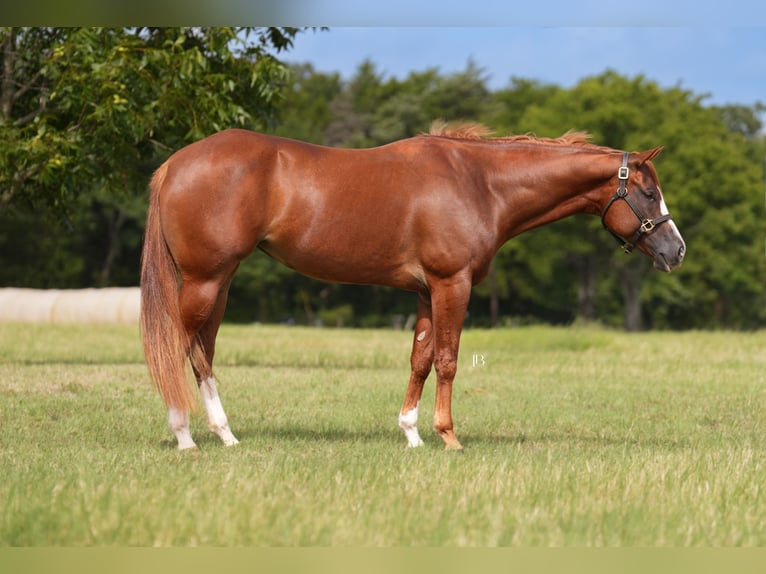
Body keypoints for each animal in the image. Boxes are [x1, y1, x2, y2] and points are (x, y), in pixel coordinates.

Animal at [140, 122, 686, 451]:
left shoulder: (426, 291)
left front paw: (412, 434)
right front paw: (449, 438)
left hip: (220, 283)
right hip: (206, 280)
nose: (676, 250)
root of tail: (175, 164)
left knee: (202, 353)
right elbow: (447, 359)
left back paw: (224, 435)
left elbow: (420, 359)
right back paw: (185, 435)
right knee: (178, 348)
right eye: (648, 192)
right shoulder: (452, 285)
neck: (480, 183)